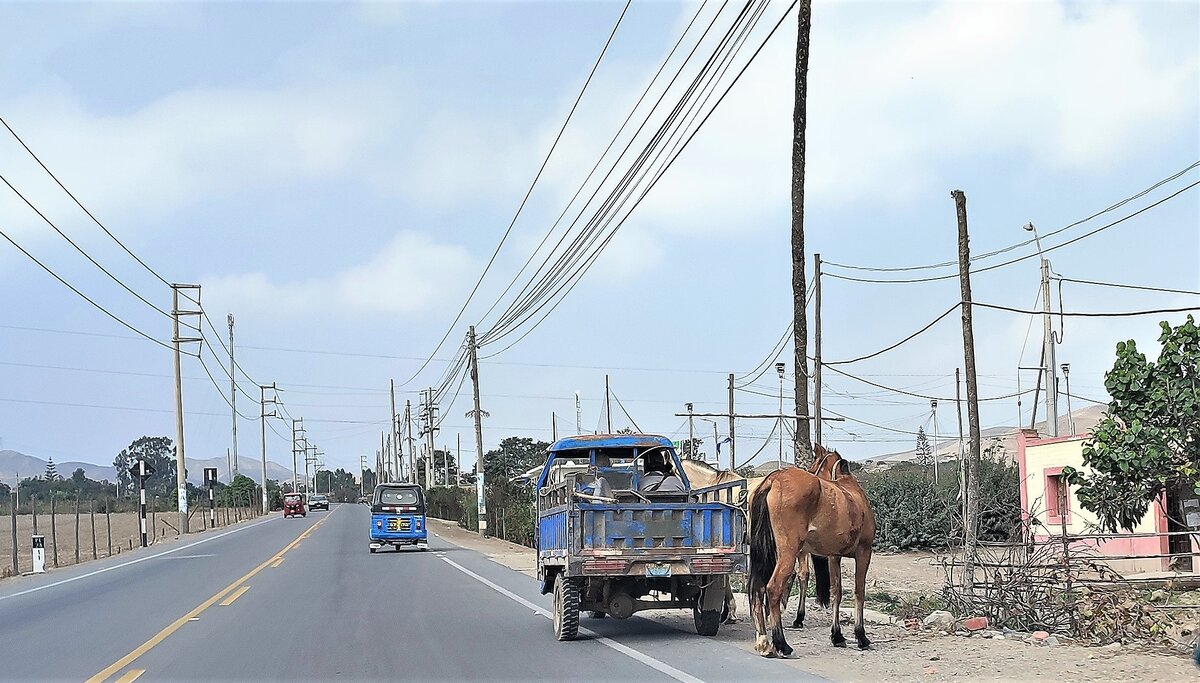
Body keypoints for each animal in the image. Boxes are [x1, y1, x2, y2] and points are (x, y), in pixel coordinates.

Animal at [748, 441, 873, 652]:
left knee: (758, 587)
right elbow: (858, 591)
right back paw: (781, 643)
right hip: (788, 552)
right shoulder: (864, 552)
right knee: (773, 588)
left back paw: (763, 640)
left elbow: (836, 592)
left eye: (814, 466)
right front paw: (860, 635)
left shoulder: (834, 556)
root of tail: (774, 480)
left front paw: (837, 635)